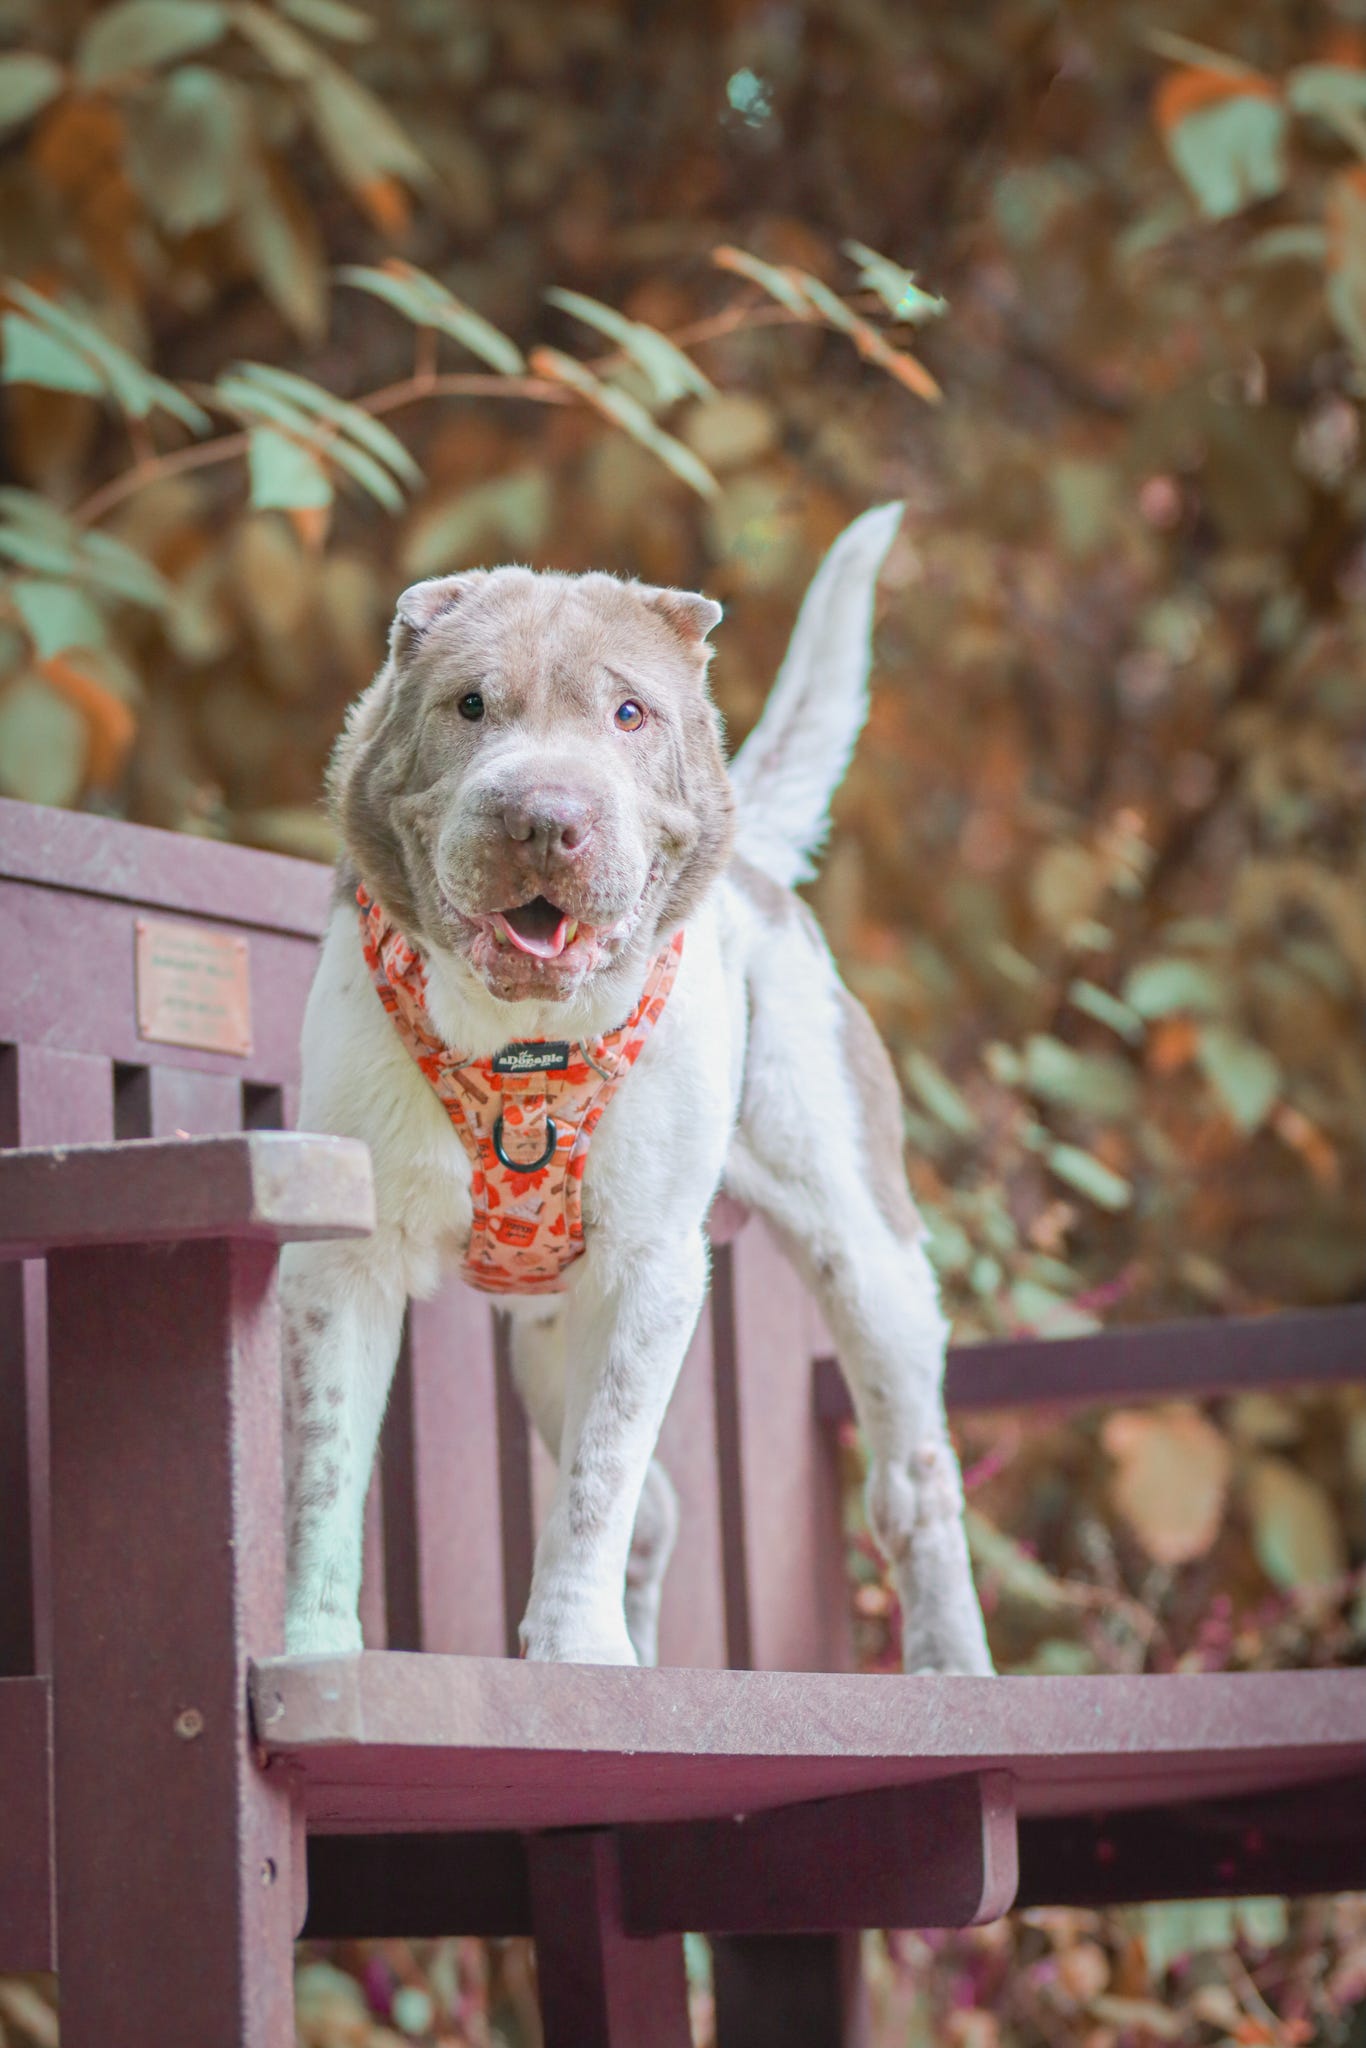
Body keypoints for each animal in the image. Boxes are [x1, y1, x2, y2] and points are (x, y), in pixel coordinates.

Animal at [280, 507, 995, 1679]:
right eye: (469, 703)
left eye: (629, 712)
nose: (542, 815)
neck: (523, 1049)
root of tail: (759, 867)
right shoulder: (343, 1259)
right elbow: (325, 1467)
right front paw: (312, 1654)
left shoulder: (650, 1267)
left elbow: (597, 1480)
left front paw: (576, 1651)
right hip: (541, 1333)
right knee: (657, 1508)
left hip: (865, 1247)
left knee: (912, 1484)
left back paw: (952, 1669)